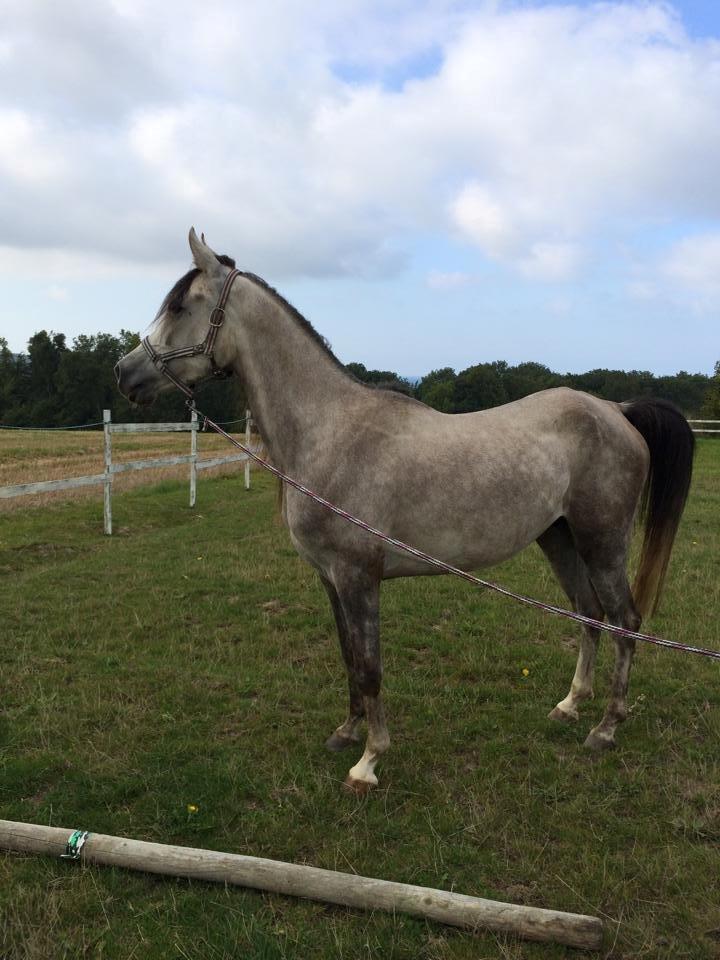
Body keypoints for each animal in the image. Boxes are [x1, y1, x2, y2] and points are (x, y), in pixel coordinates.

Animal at [115, 227, 696, 796]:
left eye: (180, 305)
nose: (124, 372)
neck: (330, 432)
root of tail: (616, 410)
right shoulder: (331, 579)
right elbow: (350, 658)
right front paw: (347, 732)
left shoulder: (358, 577)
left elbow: (371, 667)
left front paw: (369, 762)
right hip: (559, 537)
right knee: (588, 613)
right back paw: (571, 706)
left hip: (602, 541)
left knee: (625, 622)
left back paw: (606, 728)